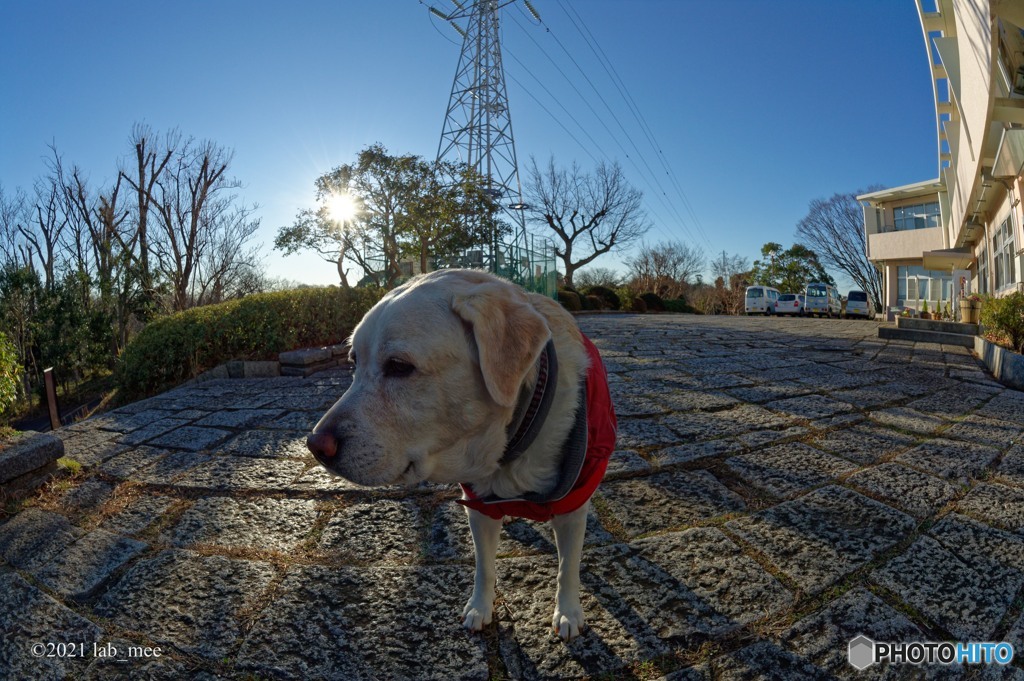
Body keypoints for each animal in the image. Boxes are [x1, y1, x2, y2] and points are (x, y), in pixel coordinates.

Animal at [305, 268, 614, 639]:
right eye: (354, 362)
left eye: (399, 366)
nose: (315, 444)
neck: (514, 440)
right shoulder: (478, 508)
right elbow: (484, 566)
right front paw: (480, 607)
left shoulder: (571, 509)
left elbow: (567, 567)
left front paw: (567, 612)